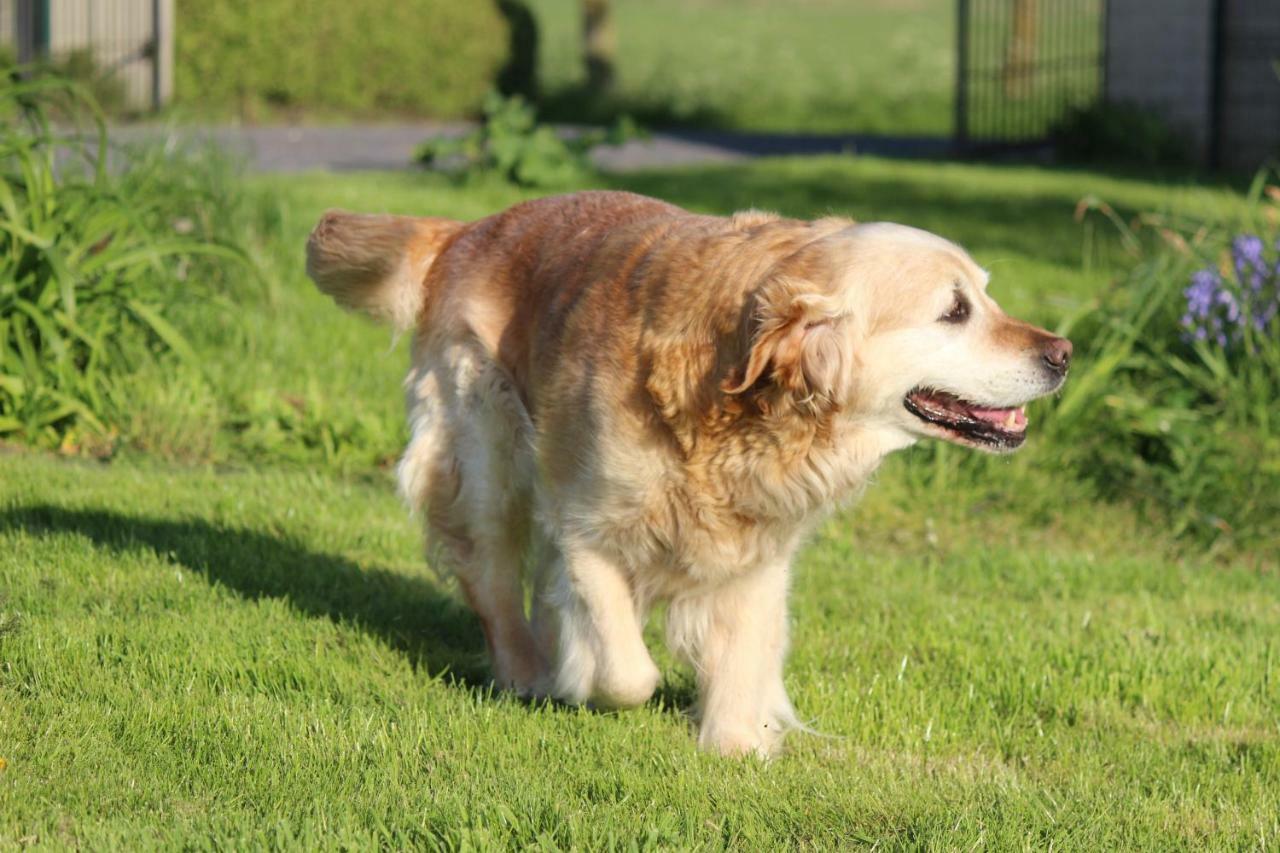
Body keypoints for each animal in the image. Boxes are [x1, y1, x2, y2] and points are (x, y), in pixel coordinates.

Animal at [302, 189, 1070, 753]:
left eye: (987, 296)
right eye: (954, 310)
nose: (1063, 353)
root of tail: (471, 227)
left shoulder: (758, 556)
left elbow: (743, 658)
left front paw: (741, 744)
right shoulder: (584, 526)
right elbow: (627, 670)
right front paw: (591, 678)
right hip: (485, 458)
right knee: (494, 584)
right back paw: (530, 672)